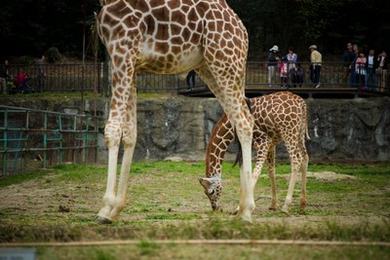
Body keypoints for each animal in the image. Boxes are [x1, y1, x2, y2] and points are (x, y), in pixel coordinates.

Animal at [96, 0, 254, 223]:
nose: (216, 208)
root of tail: (242, 30)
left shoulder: (121, 47)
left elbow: (113, 129)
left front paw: (106, 208)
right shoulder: (132, 64)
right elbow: (131, 134)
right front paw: (116, 208)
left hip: (225, 63)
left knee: (244, 122)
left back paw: (247, 211)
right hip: (210, 67)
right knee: (242, 119)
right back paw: (241, 209)